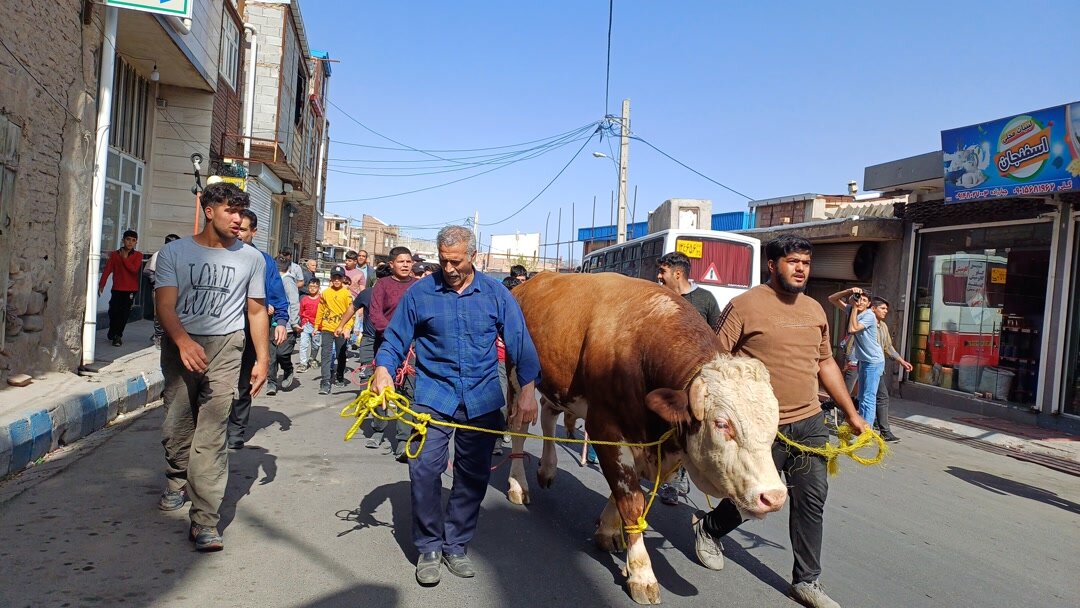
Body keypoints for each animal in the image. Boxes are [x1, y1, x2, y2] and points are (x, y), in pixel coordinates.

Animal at [505, 273, 786, 604]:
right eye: (721, 424)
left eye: (774, 425)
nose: (774, 496)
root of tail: (532, 282)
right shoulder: (605, 429)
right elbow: (631, 500)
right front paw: (642, 573)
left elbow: (623, 492)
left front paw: (609, 531)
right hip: (517, 376)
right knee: (520, 426)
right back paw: (517, 485)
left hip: (558, 382)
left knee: (549, 414)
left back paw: (547, 469)